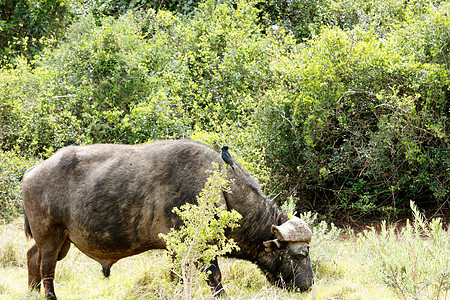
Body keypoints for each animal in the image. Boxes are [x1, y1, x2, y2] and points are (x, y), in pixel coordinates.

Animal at [22, 139, 312, 298]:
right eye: (301, 254)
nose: (309, 285)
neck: (220, 189)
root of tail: (32, 171)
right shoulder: (199, 248)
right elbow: (215, 278)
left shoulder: (175, 249)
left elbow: (176, 278)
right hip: (51, 236)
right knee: (47, 269)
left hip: (61, 240)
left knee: (32, 257)